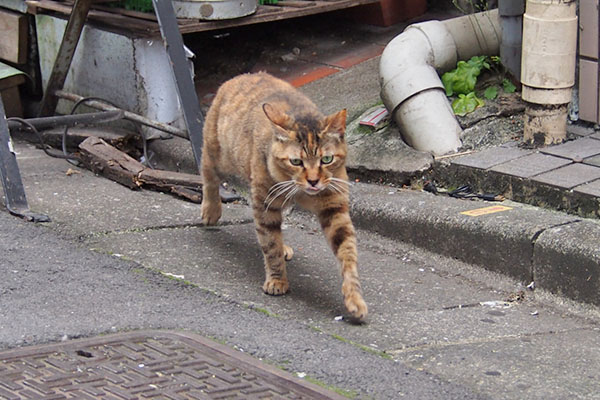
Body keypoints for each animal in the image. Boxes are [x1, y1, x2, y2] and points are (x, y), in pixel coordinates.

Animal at [202, 72, 368, 322]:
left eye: (326, 159)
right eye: (296, 161)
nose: (313, 181)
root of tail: (242, 76)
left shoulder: (334, 207)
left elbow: (347, 253)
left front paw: (354, 298)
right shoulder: (265, 205)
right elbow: (270, 244)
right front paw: (277, 280)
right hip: (219, 153)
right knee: (207, 170)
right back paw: (210, 210)